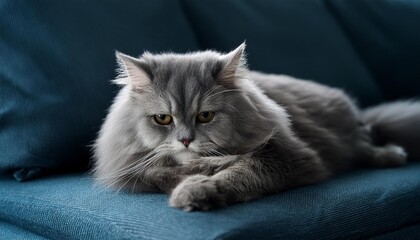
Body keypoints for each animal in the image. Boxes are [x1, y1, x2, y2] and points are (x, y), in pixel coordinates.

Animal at [93, 42, 420, 210]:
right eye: (163, 119)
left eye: (205, 116)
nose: (185, 140)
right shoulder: (134, 171)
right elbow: (161, 173)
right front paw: (195, 176)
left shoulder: (287, 156)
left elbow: (240, 173)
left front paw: (196, 191)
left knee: (364, 144)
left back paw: (391, 155)